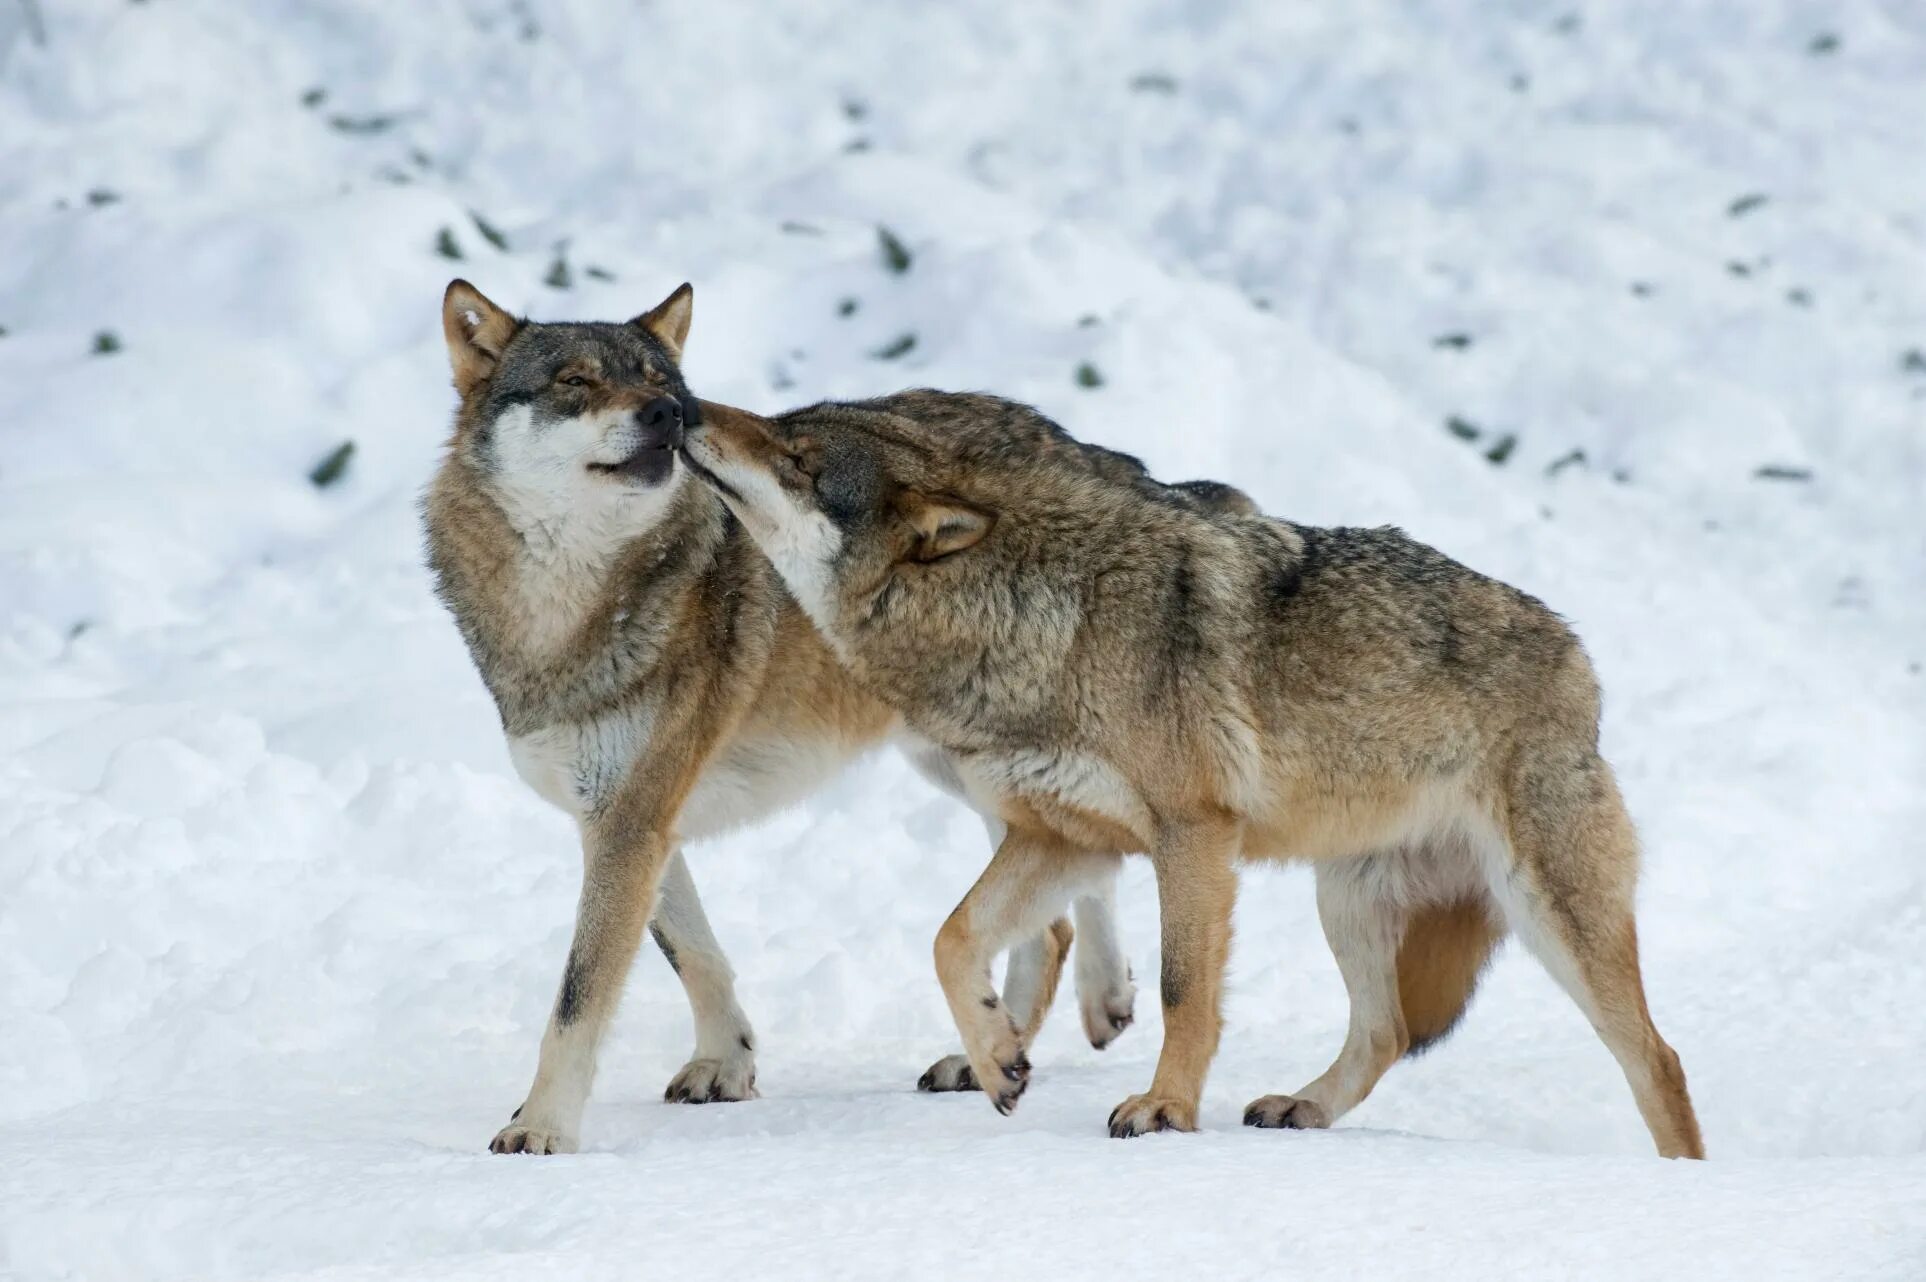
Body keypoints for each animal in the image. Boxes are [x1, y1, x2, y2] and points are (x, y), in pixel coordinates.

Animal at [685, 384, 1710, 1154]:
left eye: (797, 457)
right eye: (785, 421)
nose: (685, 405)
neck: (1034, 620)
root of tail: (1575, 654)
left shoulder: (1193, 836)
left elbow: (1184, 991)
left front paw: (1165, 1111)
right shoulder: (1065, 838)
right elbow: (951, 938)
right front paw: (998, 1061)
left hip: (1552, 920)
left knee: (1657, 1058)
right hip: (1348, 904)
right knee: (1385, 1033)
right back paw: (1304, 1106)